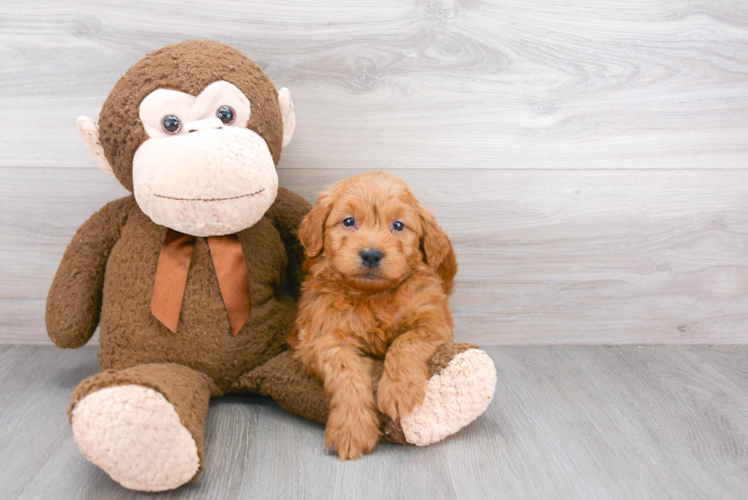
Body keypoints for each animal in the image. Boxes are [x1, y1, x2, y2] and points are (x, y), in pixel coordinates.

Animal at [290, 172, 458, 460]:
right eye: (349, 221)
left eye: (398, 226)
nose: (371, 254)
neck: (372, 297)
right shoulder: (323, 338)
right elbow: (348, 375)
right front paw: (351, 429)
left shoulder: (433, 321)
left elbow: (405, 342)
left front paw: (399, 391)